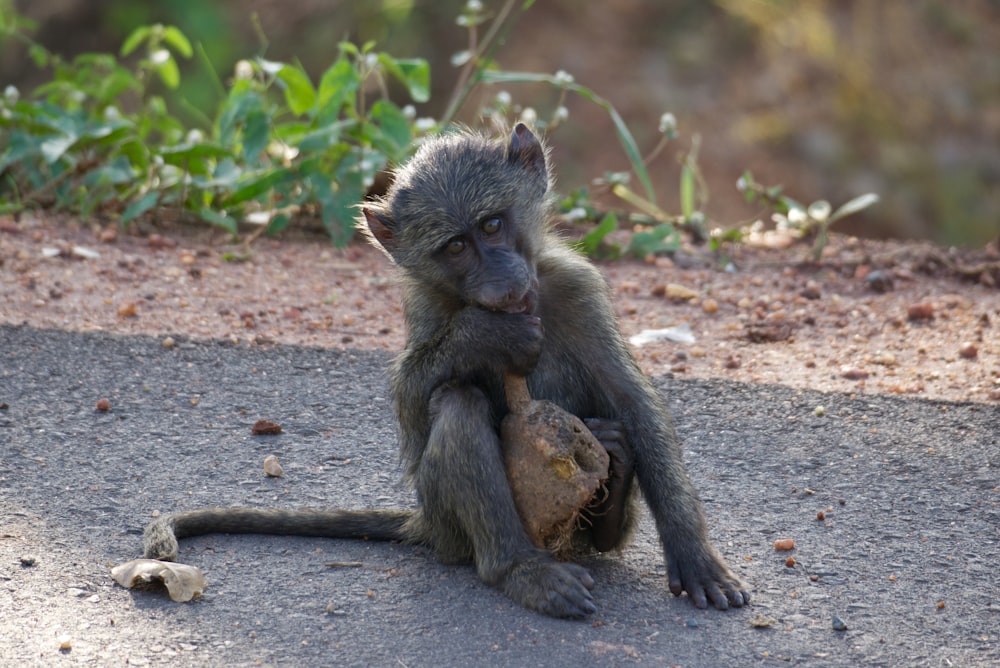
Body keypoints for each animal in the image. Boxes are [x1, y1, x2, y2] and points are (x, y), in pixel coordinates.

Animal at [143, 124, 752, 616]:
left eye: (493, 225)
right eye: (456, 246)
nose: (503, 289)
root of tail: (426, 524)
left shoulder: (577, 289)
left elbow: (632, 401)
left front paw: (696, 559)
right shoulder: (427, 307)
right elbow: (412, 400)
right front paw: (489, 337)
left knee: (611, 438)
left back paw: (612, 477)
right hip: (447, 516)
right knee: (459, 404)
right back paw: (520, 571)